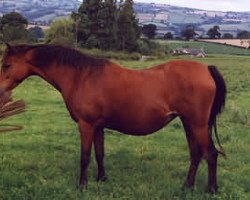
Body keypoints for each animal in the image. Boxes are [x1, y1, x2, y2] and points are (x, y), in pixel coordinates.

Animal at [0, 43, 227, 192]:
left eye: (7, 65)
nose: (1, 90)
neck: (82, 76)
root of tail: (206, 69)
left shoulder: (86, 125)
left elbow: (85, 157)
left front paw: (81, 185)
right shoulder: (98, 126)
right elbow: (100, 153)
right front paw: (102, 178)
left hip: (197, 125)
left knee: (211, 154)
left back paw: (211, 189)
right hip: (188, 123)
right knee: (196, 154)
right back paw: (187, 186)